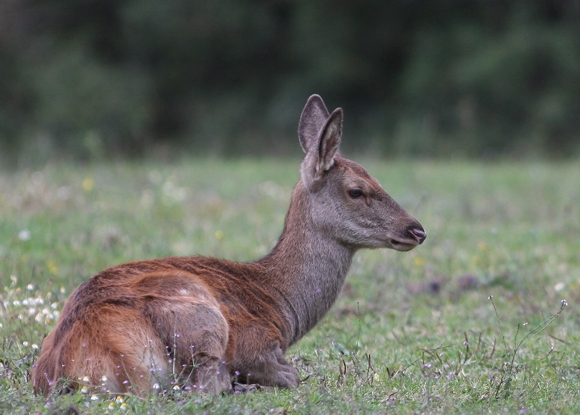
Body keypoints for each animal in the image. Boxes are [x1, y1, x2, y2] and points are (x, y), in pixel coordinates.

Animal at [30, 94, 426, 396]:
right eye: (357, 190)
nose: (417, 230)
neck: (283, 305)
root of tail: (88, 362)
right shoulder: (257, 342)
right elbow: (289, 374)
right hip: (200, 318)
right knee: (203, 384)